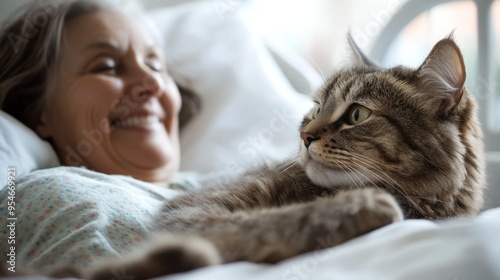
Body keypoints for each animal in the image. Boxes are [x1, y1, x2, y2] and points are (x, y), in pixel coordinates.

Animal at [89, 35, 484, 280]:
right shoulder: (188, 211)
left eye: (357, 115)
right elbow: (272, 221)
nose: (304, 137)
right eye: (316, 107)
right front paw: (361, 207)